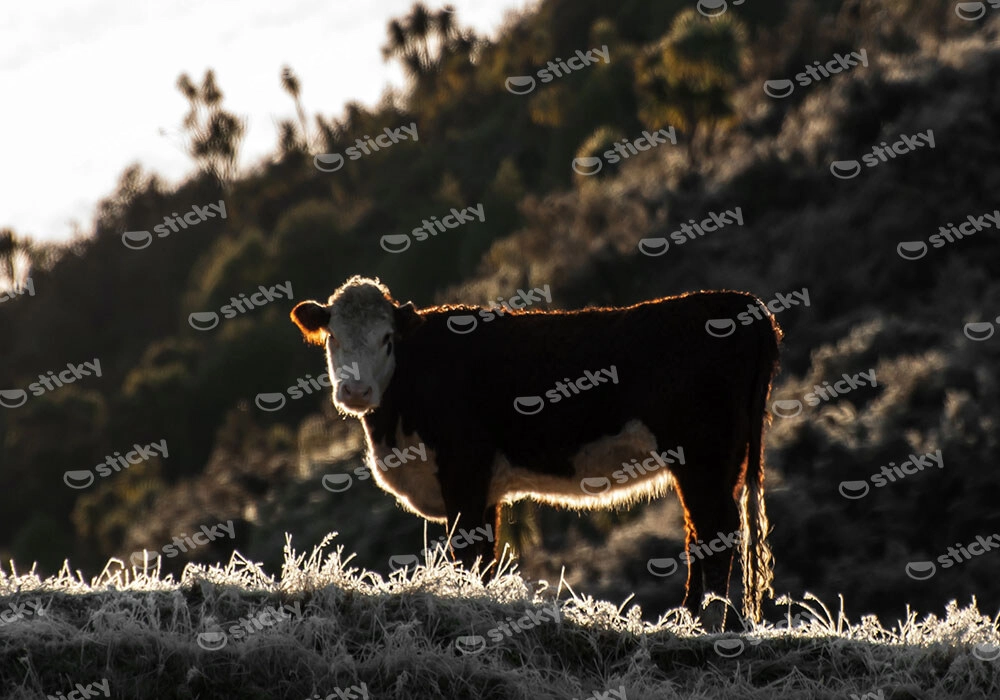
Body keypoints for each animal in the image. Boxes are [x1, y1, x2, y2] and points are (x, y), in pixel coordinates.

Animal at [291, 275, 782, 628]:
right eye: (333, 338)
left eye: (387, 339)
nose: (355, 391)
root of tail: (741, 302)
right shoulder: (484, 487)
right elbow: (484, 556)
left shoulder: (463, 469)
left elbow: (467, 551)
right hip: (720, 461)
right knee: (704, 533)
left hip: (703, 455)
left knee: (715, 532)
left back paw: (701, 624)